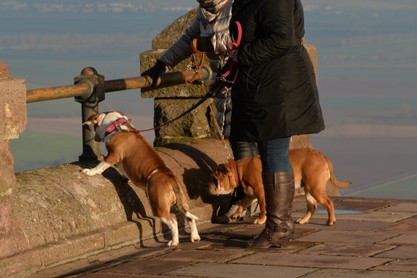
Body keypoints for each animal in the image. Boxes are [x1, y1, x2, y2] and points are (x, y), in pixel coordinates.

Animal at [81, 111, 200, 245]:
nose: (95, 137)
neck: (116, 125)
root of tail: (170, 178)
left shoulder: (114, 155)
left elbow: (101, 165)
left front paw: (90, 171)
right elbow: (122, 169)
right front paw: (124, 177)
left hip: (159, 206)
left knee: (173, 222)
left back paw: (174, 242)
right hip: (182, 200)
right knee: (190, 217)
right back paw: (195, 237)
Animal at [208, 148, 352, 226]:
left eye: (214, 179)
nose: (208, 187)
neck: (240, 169)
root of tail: (322, 156)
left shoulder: (260, 192)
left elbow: (262, 207)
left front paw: (261, 220)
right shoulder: (251, 194)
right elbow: (242, 203)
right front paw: (236, 214)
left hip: (315, 188)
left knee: (329, 203)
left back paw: (330, 221)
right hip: (309, 190)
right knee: (312, 206)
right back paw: (303, 220)